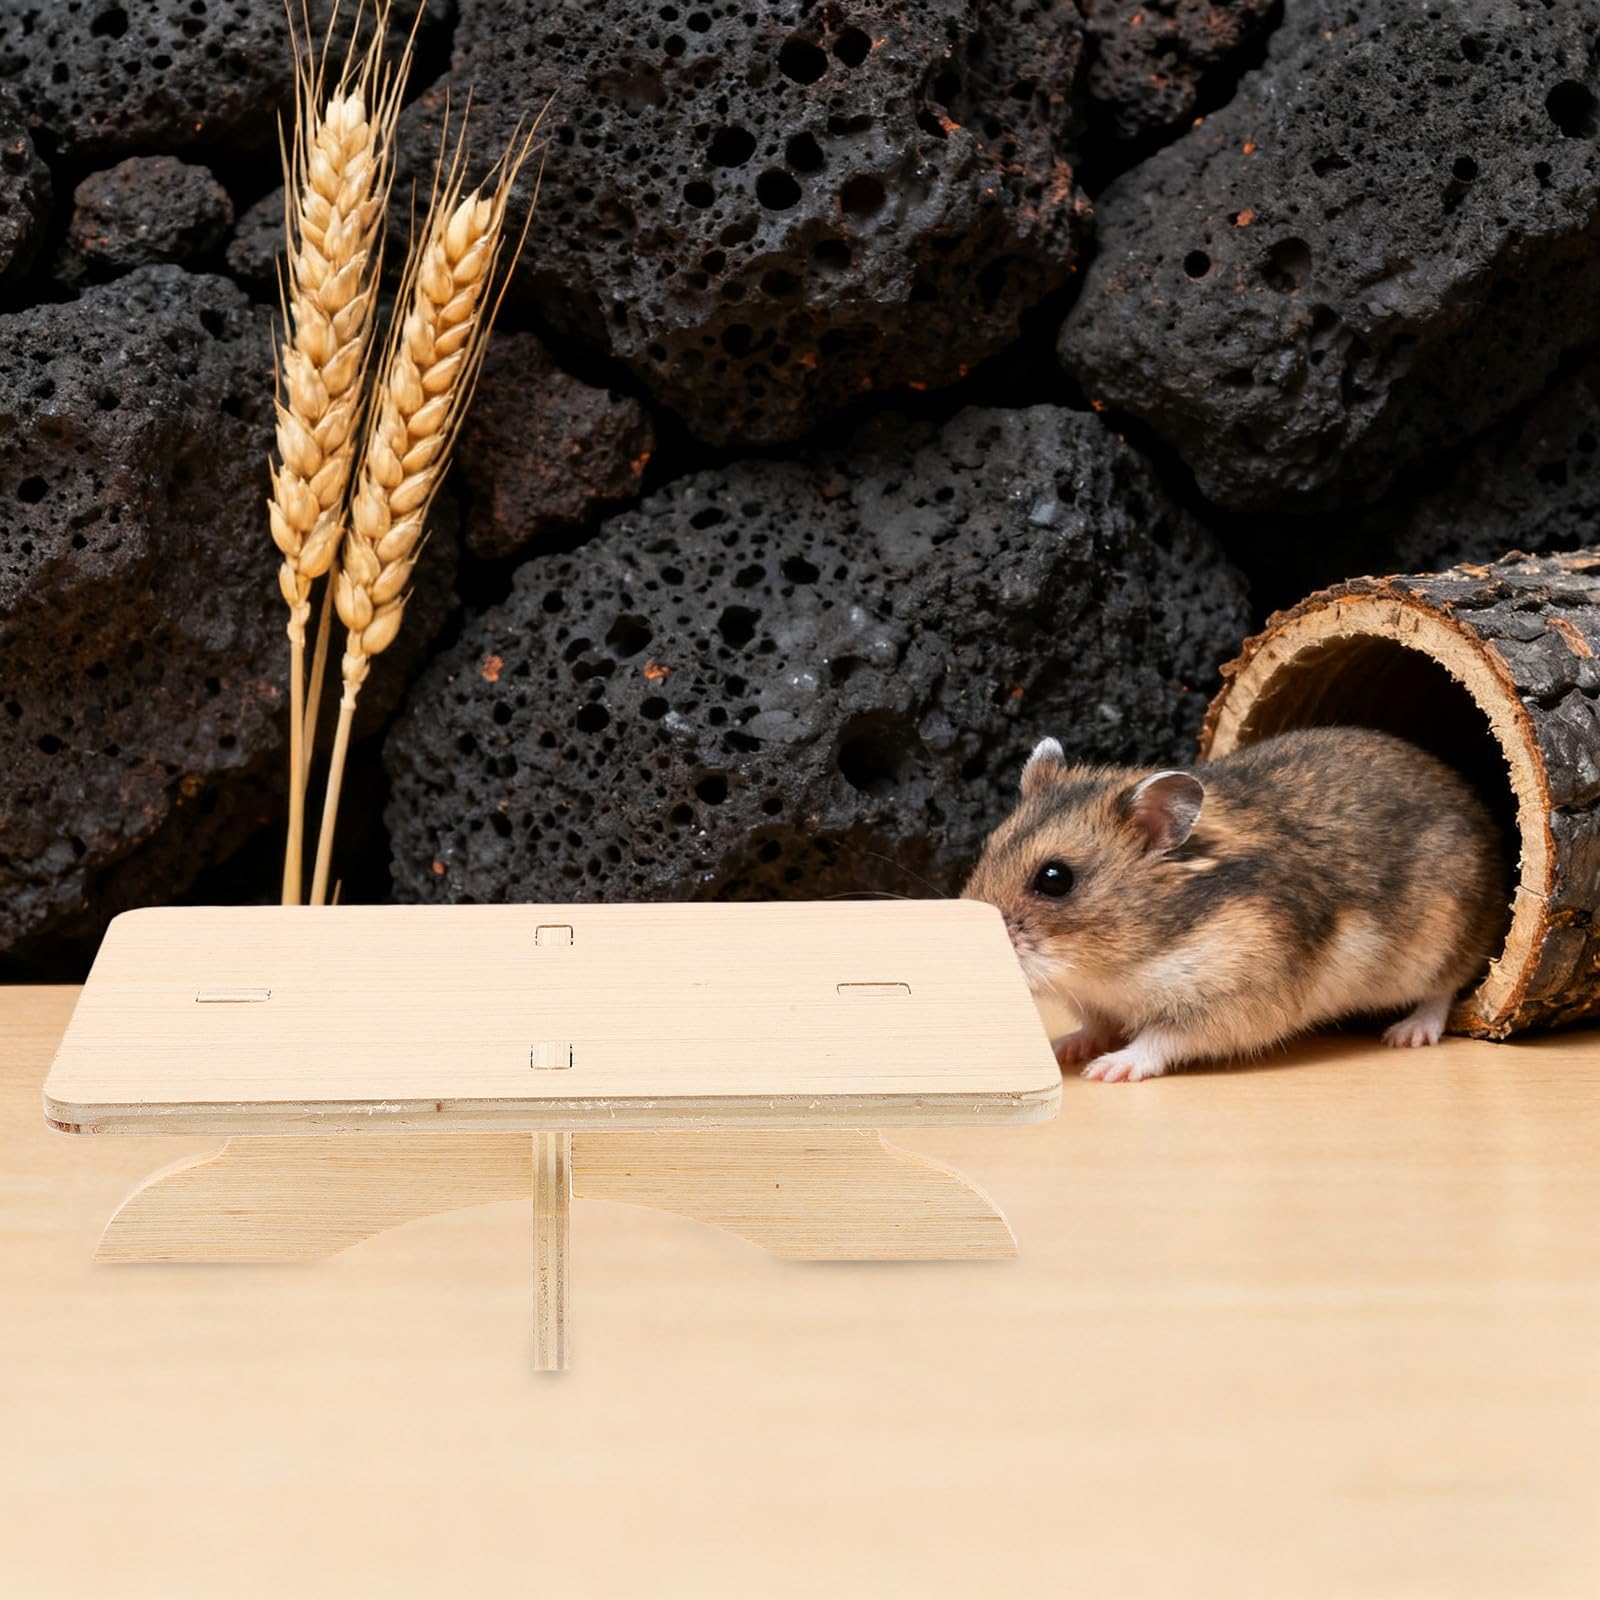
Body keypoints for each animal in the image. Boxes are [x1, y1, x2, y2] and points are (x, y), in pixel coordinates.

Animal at [962, 727, 1509, 1082]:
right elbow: (1094, 1024)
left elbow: (1162, 1038)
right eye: (988, 847)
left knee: (1444, 988)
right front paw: (1065, 1050)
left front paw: (1107, 1070)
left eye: (1055, 879)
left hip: (1443, 942)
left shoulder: (1233, 1000)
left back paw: (1407, 1034)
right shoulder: (1098, 1002)